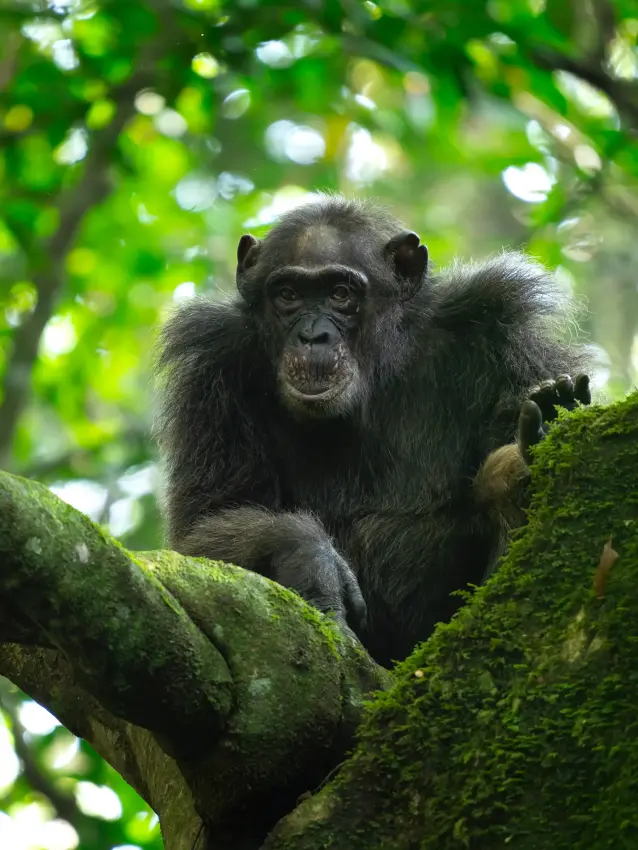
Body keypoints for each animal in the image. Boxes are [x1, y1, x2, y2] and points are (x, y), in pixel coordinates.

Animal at [154, 195, 590, 667]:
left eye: (340, 293)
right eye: (288, 294)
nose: (313, 335)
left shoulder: (504, 328)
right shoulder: (214, 369)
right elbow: (203, 527)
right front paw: (310, 557)